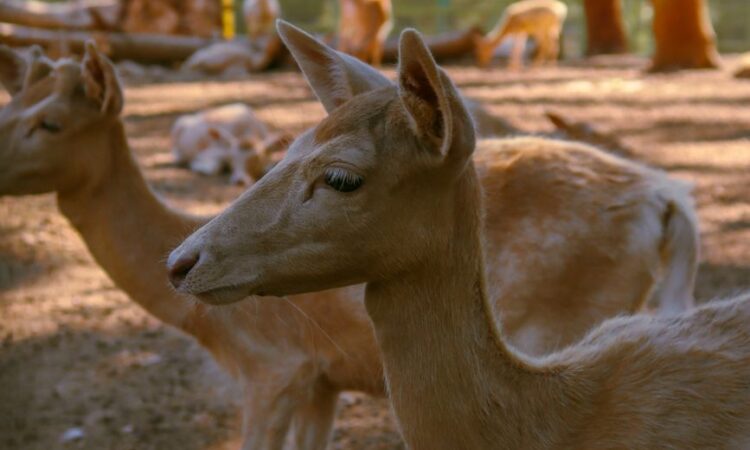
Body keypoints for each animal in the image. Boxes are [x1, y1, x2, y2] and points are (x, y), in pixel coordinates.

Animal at [0, 38, 696, 449]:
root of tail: (668, 197)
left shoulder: (275, 367)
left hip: (568, 318)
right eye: (9, 107)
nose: (181, 262)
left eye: (51, 122)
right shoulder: (322, 380)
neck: (210, 333)